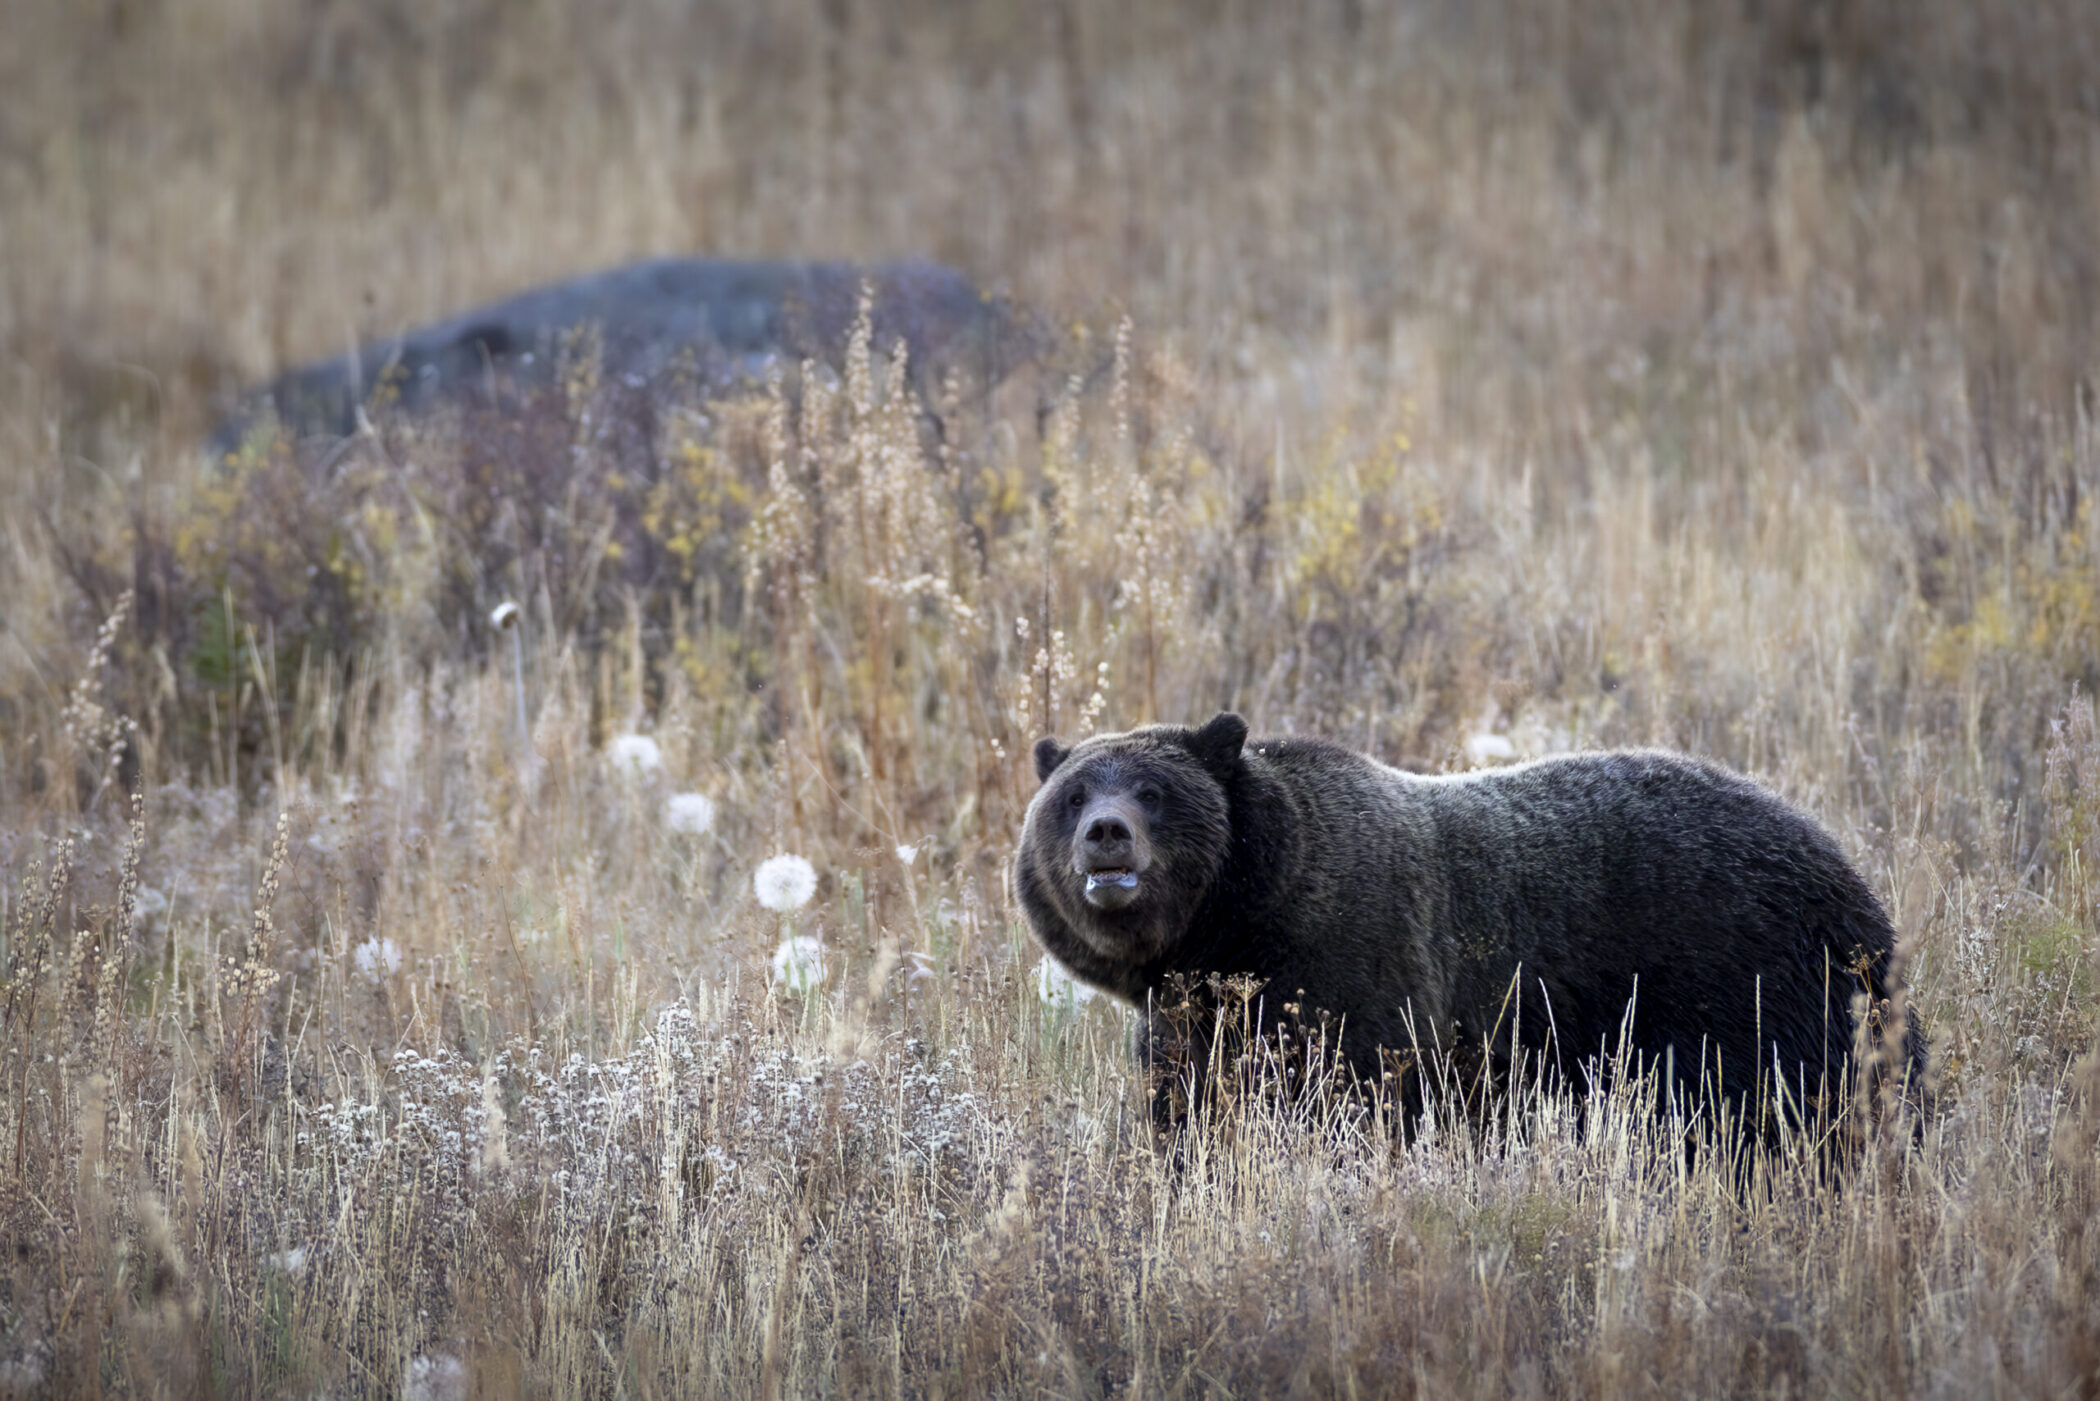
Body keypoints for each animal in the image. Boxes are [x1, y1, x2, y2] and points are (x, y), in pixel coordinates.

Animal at [1014, 712, 1927, 1144]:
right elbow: (1188, 1113)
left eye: (1154, 791)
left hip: (1749, 983)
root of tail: (1843, 862)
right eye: (1072, 794)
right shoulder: (1189, 1017)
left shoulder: (1354, 968)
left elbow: (1354, 1101)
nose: (1106, 834)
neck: (1238, 926)